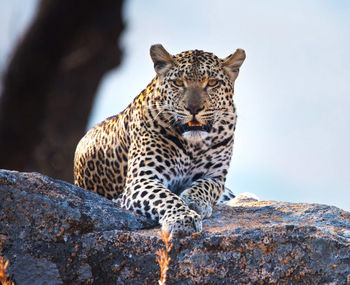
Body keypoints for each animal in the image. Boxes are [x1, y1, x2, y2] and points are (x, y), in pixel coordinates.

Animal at [73, 43, 246, 235]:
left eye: (212, 83)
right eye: (178, 83)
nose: (193, 108)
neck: (193, 146)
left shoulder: (215, 178)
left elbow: (204, 187)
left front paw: (193, 200)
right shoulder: (141, 179)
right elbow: (165, 196)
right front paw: (183, 218)